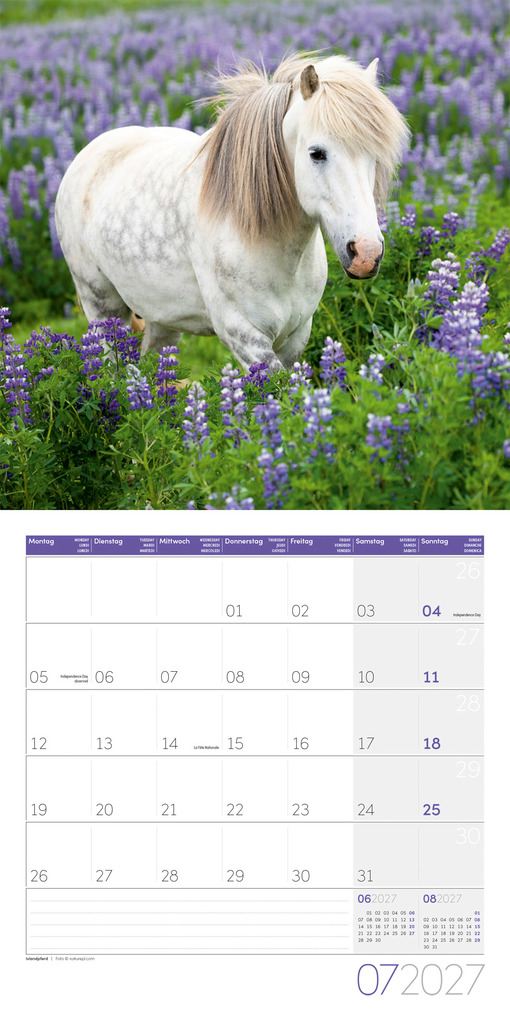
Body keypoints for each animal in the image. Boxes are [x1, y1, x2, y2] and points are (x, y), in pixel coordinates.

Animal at [55, 53, 409, 373]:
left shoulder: (296, 335)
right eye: (316, 153)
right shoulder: (244, 336)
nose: (366, 254)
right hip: (102, 308)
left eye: (375, 156)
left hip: (161, 317)